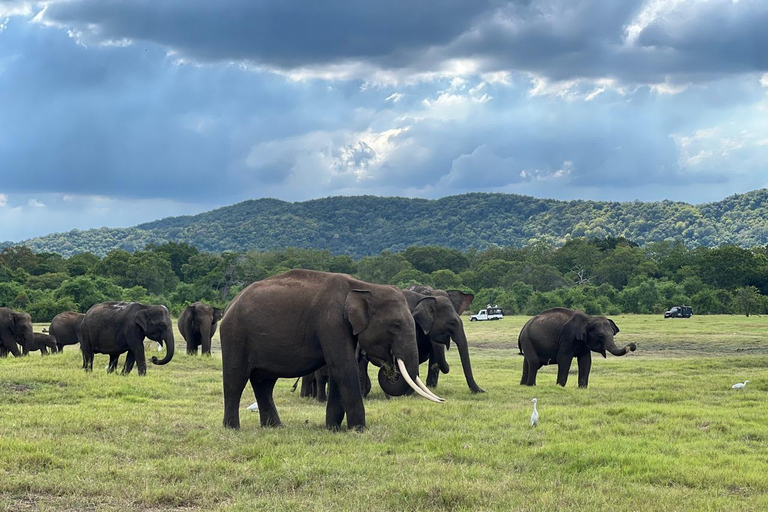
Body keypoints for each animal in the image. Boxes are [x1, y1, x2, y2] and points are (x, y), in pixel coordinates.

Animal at [219, 268, 440, 432]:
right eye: (396, 326)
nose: (390, 366)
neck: (363, 287)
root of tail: (230, 305)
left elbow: (339, 370)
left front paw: (333, 428)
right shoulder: (331, 322)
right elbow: (344, 367)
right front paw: (359, 429)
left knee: (264, 382)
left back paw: (275, 427)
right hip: (235, 336)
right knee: (236, 379)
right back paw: (233, 428)